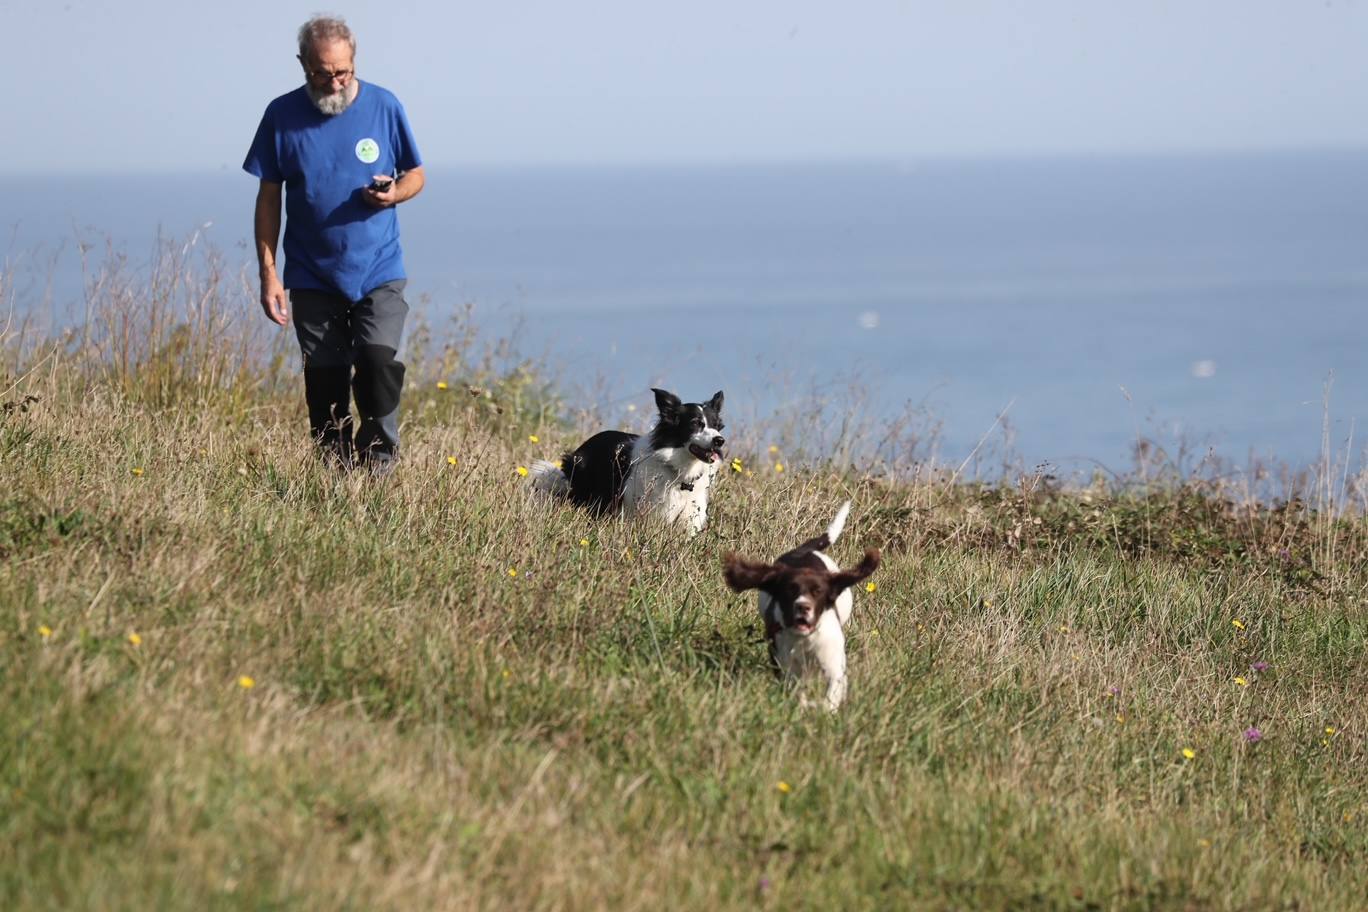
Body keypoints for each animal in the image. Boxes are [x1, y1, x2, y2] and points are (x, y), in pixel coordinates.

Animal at [722, 503, 880, 711]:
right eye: (789, 590)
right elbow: (796, 689)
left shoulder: (833, 664)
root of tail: (804, 549)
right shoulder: (785, 664)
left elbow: (831, 693)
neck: (805, 639)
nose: (803, 607)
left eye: (818, 591)